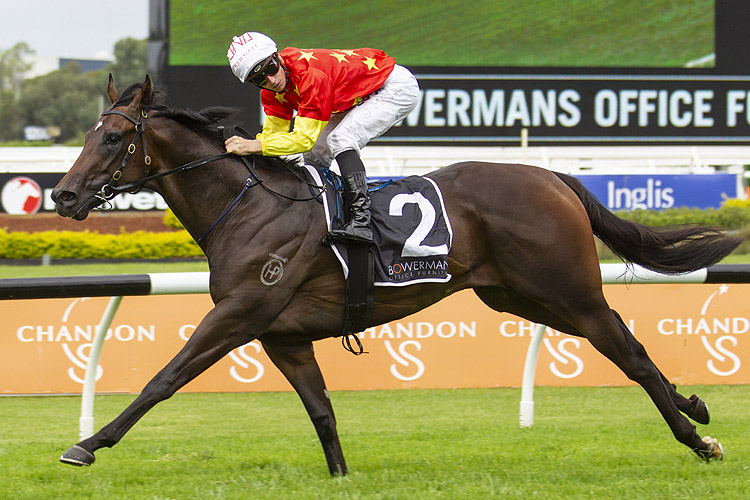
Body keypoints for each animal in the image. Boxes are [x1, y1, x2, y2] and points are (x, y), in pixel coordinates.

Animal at [53, 76, 740, 474]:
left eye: (111, 138)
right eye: (89, 133)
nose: (63, 195)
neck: (247, 204)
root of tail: (551, 175)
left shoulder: (240, 312)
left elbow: (163, 379)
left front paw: (87, 443)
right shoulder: (284, 336)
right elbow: (322, 412)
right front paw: (341, 477)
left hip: (568, 291)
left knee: (631, 355)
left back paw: (696, 438)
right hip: (520, 297)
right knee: (625, 339)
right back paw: (697, 408)